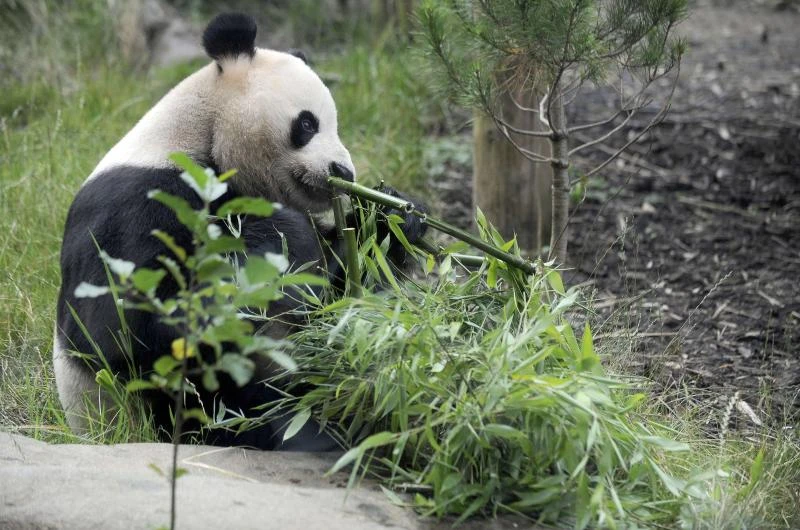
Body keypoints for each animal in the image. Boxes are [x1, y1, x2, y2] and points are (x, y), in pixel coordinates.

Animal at [54, 13, 425, 451]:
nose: (344, 172)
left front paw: (393, 216)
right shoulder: (133, 203)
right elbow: (120, 326)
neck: (202, 136)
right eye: (307, 123)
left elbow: (342, 287)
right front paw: (285, 236)